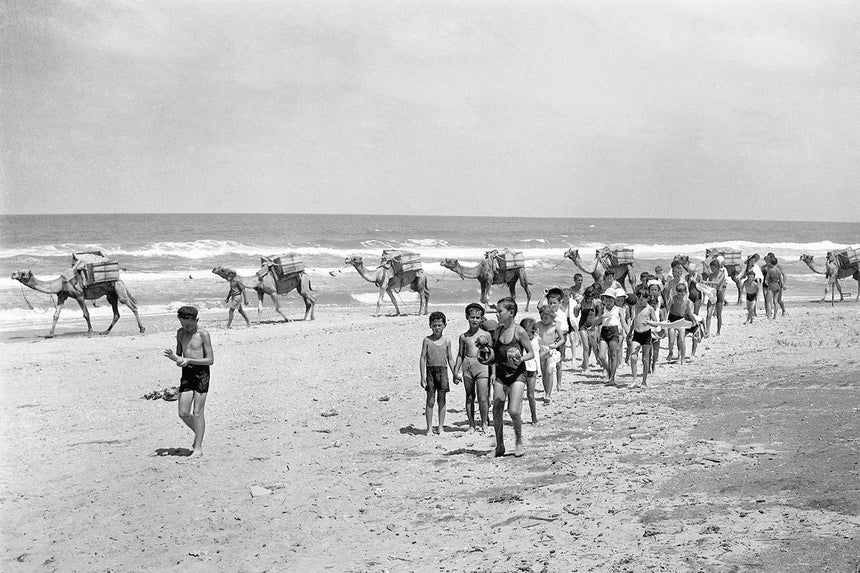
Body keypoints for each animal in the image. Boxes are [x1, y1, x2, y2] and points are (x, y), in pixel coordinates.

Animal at [11, 270, 145, 338]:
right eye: (18, 271)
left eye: (22, 273)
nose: (12, 274)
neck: (61, 283)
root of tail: (121, 280)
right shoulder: (62, 296)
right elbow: (55, 316)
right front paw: (50, 334)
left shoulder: (79, 295)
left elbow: (86, 314)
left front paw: (90, 331)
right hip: (111, 294)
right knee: (116, 313)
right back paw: (105, 332)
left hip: (119, 290)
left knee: (132, 306)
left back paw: (142, 328)